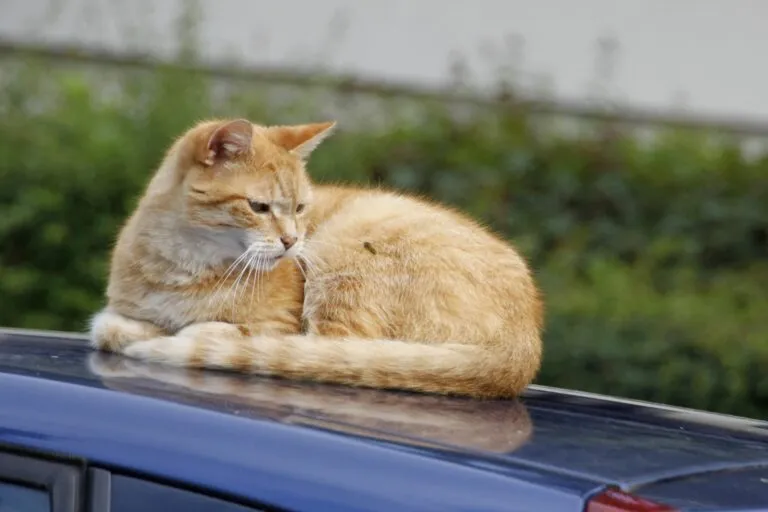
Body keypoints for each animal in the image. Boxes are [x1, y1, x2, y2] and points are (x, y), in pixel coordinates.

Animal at [90, 118, 544, 398]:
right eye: (258, 207)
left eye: (301, 208)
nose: (292, 242)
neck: (182, 266)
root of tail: (523, 347)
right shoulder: (120, 309)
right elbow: (110, 327)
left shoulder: (279, 322)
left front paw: (182, 332)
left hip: (342, 250)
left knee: (329, 350)